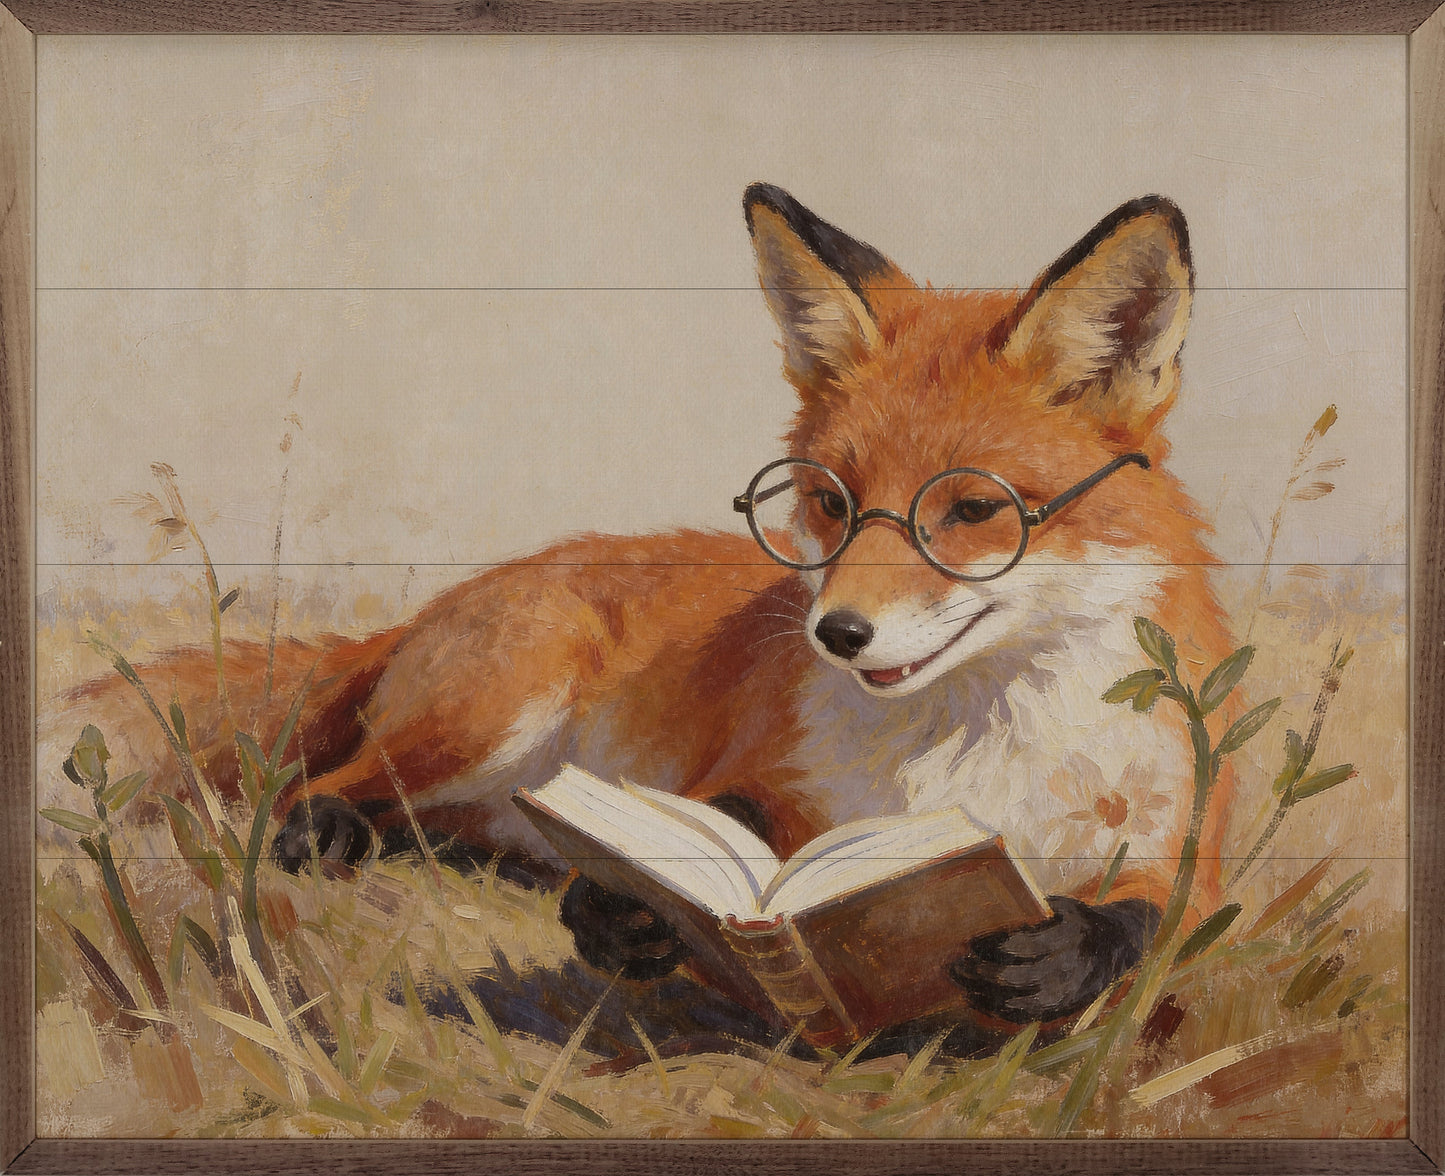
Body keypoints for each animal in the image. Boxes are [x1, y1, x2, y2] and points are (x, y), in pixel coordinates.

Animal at [55, 184, 1235, 1027]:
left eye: (974, 510)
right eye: (829, 502)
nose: (834, 633)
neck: (968, 759)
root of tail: (472, 589)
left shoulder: (1192, 850)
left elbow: (1150, 922)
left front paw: (1066, 951)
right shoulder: (760, 778)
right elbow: (723, 819)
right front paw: (626, 907)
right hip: (488, 713)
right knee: (309, 787)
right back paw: (335, 834)